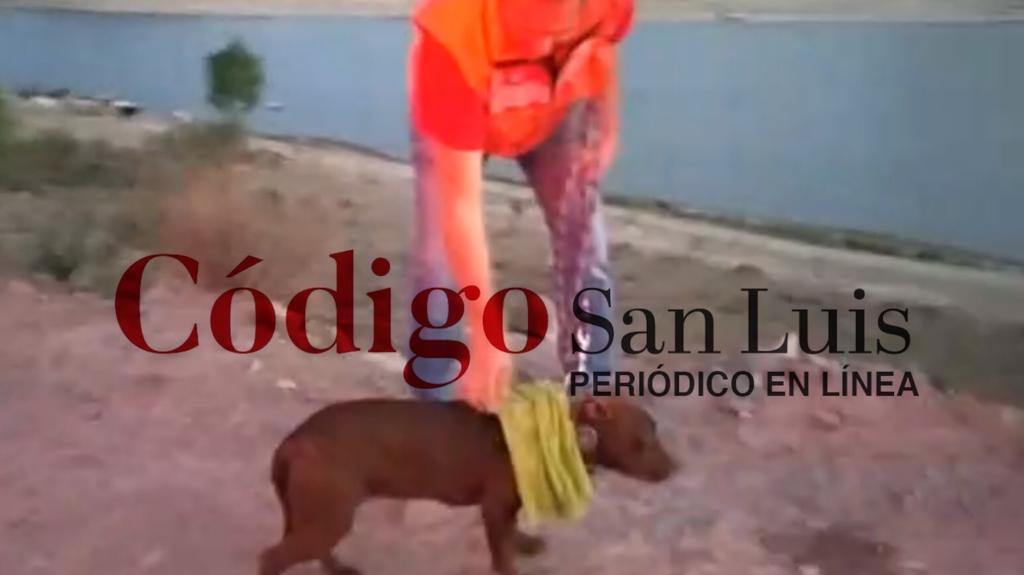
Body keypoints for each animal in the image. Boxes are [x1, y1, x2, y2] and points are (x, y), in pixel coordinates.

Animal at [258, 395, 677, 575]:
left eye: (657, 433)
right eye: (641, 442)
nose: (674, 469)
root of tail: (292, 440)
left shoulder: (507, 508)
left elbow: (512, 535)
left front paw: (526, 543)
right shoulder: (493, 508)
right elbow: (502, 556)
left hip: (323, 515)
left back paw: (340, 569)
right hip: (330, 514)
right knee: (273, 557)